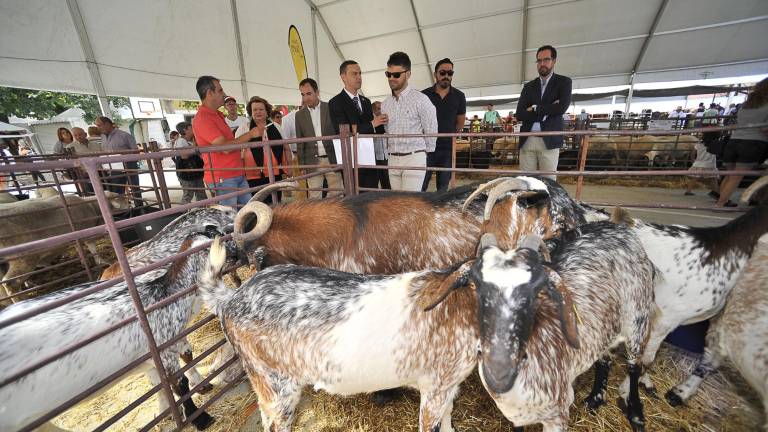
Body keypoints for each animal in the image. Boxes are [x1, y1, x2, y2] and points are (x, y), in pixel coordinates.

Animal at [472, 226, 656, 432]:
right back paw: (594, 399)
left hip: (638, 318)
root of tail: (622, 230)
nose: (499, 363)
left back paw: (636, 415)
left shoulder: (558, 414)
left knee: (634, 366)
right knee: (604, 358)